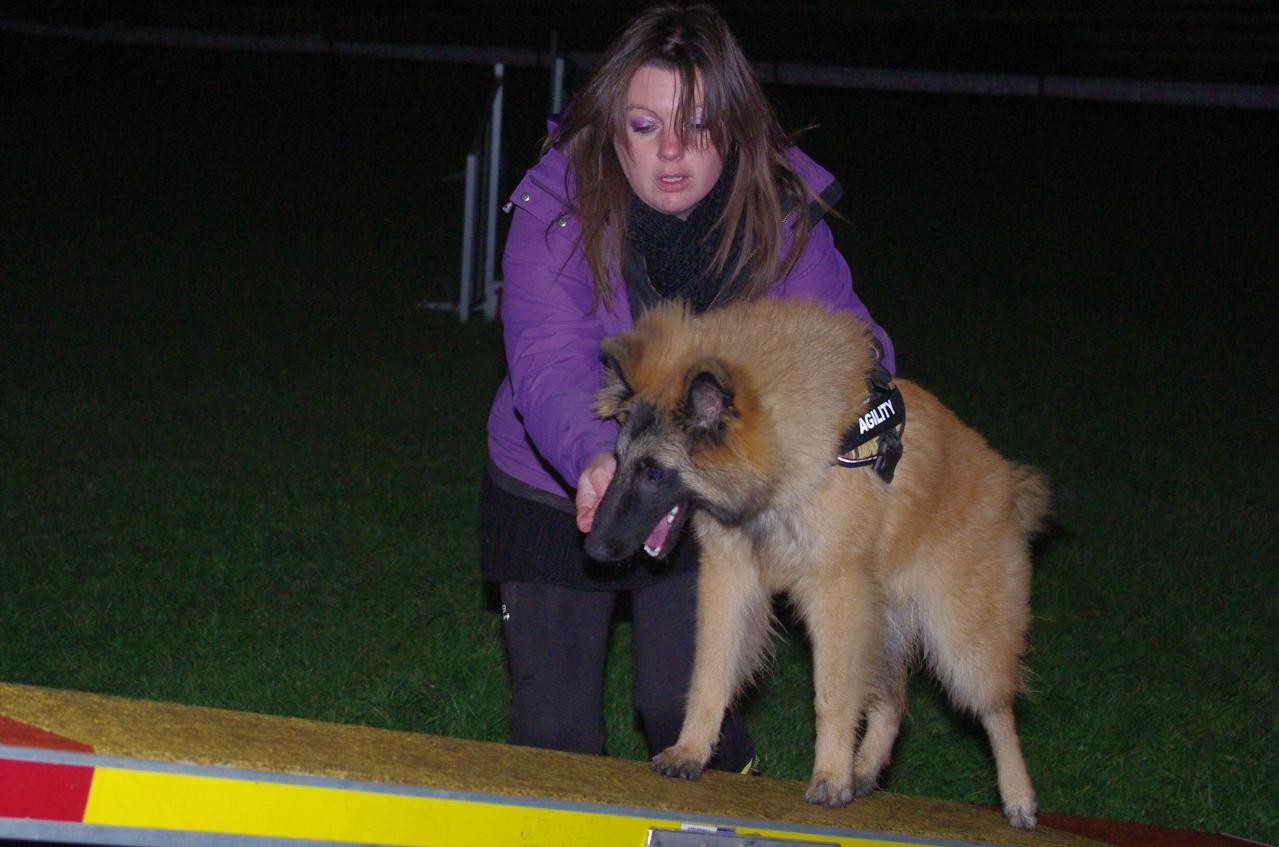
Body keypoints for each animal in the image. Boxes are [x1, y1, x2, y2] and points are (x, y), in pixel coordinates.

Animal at [583, 298, 1048, 829]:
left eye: (654, 472)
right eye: (619, 460)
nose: (593, 549)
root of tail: (1008, 486)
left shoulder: (836, 593)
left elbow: (832, 693)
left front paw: (829, 776)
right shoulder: (731, 579)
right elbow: (711, 672)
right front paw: (691, 750)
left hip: (959, 636)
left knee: (996, 711)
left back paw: (1017, 797)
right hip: (882, 625)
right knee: (894, 703)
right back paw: (864, 769)